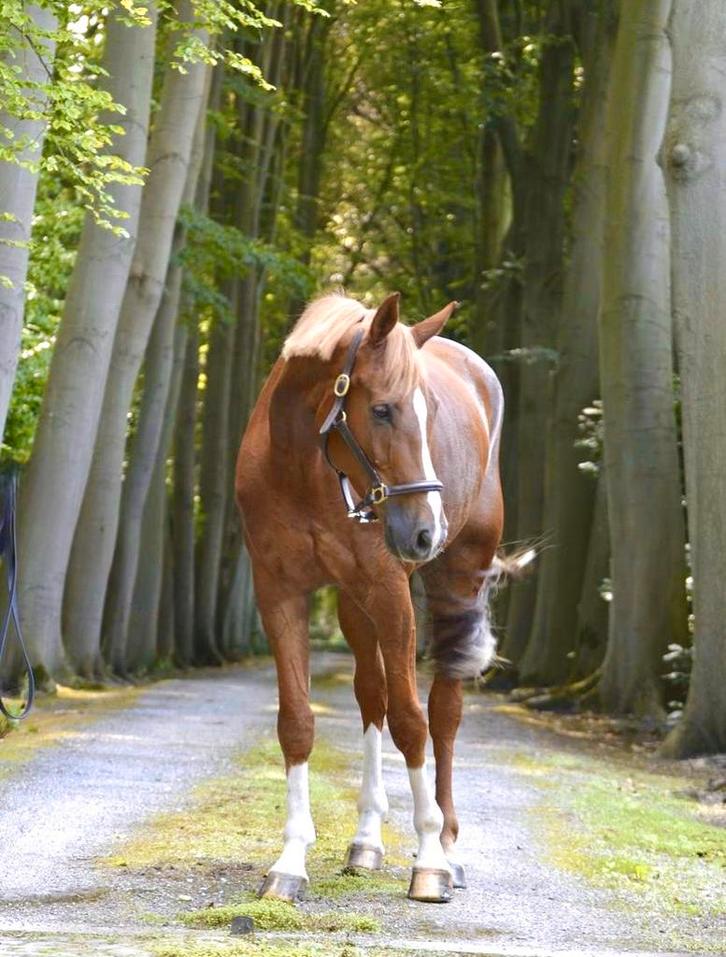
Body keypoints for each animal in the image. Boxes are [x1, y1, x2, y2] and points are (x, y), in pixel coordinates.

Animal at [235, 291, 504, 904]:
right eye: (382, 410)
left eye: (431, 413)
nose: (428, 529)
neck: (304, 464)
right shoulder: (281, 592)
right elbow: (298, 722)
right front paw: (290, 861)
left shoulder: (389, 591)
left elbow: (411, 721)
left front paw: (429, 859)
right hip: (354, 604)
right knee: (371, 696)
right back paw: (365, 842)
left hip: (456, 583)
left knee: (443, 712)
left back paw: (447, 846)